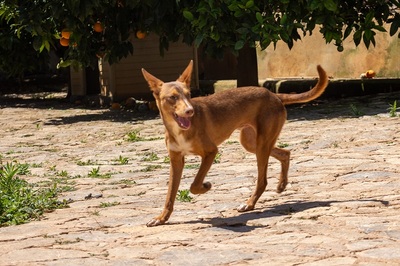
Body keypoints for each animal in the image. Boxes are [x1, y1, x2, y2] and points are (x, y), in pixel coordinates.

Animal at [141, 60, 328, 227]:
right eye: (172, 97)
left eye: (188, 95)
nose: (190, 111)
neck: (178, 130)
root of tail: (273, 95)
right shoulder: (176, 161)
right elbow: (170, 195)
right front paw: (161, 218)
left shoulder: (211, 152)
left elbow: (194, 185)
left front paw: (205, 186)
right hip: (251, 143)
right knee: (285, 153)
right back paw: (281, 185)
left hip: (261, 145)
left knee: (263, 180)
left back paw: (250, 203)